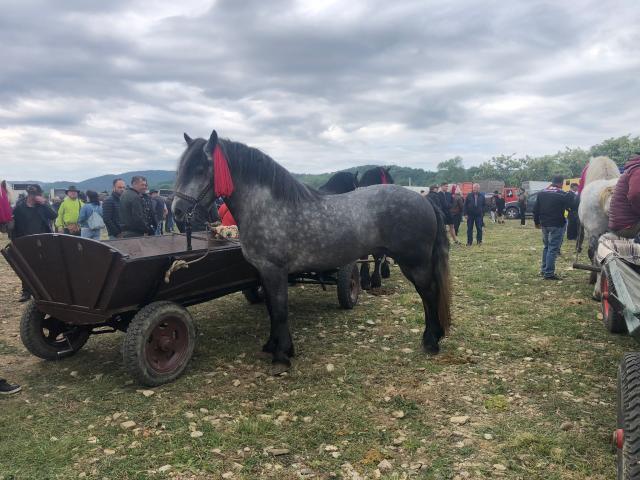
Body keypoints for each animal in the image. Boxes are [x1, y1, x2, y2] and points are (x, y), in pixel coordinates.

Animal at [172, 131, 448, 368]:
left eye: (200, 169)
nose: (177, 212)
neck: (267, 208)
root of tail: (424, 200)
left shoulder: (275, 270)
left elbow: (280, 310)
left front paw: (282, 356)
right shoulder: (264, 272)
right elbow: (271, 309)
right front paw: (272, 346)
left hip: (415, 262)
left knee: (428, 293)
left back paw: (431, 340)